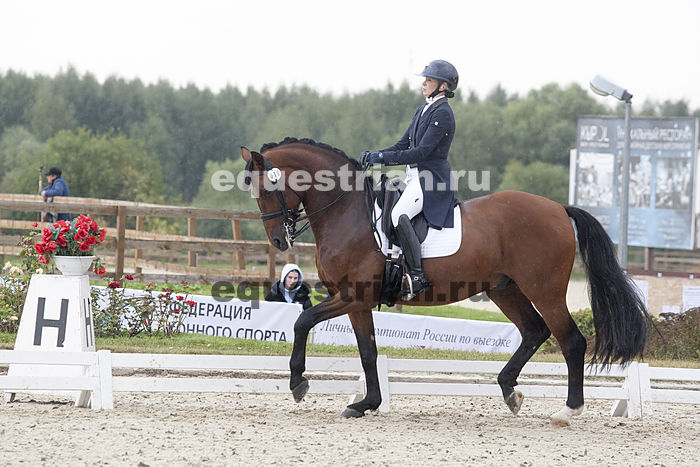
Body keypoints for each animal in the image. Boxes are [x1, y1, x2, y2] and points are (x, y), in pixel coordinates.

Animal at [240, 137, 648, 427]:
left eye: (267, 190)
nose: (279, 241)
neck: (347, 213)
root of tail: (558, 208)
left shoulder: (352, 294)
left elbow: (302, 320)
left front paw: (298, 384)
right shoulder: (357, 301)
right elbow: (368, 351)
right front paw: (366, 404)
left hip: (543, 289)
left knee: (571, 341)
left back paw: (568, 411)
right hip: (503, 288)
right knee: (534, 331)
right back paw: (509, 390)